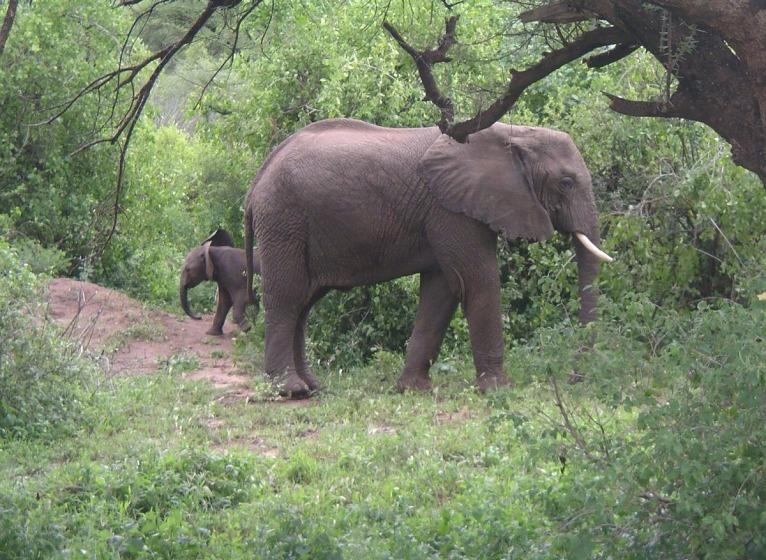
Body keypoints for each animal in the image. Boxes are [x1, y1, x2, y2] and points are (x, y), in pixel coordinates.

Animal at [244, 118, 613, 398]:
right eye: (566, 183)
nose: (573, 379)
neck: (513, 132)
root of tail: (259, 176)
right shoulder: (452, 210)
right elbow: (477, 283)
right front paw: (500, 389)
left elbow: (442, 292)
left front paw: (414, 390)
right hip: (283, 220)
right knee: (287, 297)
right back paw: (290, 390)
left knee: (304, 303)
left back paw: (312, 386)